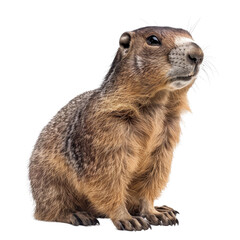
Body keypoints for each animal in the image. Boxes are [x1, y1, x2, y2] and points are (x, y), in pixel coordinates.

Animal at [29, 26, 203, 231]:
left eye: (190, 36)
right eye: (153, 40)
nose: (198, 54)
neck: (158, 104)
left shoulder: (167, 137)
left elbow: (153, 175)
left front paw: (153, 212)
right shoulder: (108, 129)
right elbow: (109, 176)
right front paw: (128, 219)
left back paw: (164, 209)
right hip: (49, 182)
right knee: (48, 209)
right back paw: (77, 215)